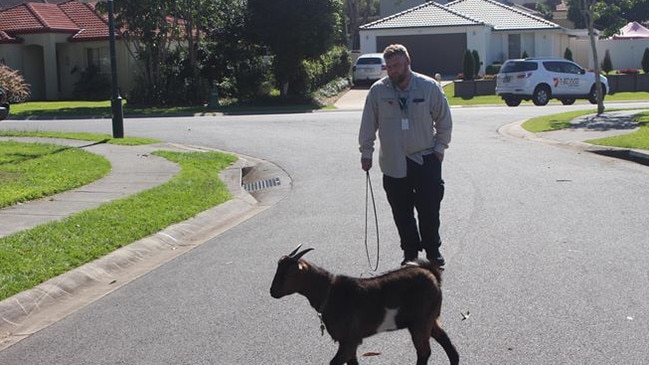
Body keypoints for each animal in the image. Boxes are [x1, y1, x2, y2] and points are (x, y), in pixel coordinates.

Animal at [268, 245, 456, 364]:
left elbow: (334, 363)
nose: (273, 292)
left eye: (290, 273)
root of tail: (432, 274)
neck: (329, 292)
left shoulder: (349, 340)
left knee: (424, 352)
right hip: (429, 318)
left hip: (420, 321)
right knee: (446, 342)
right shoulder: (350, 342)